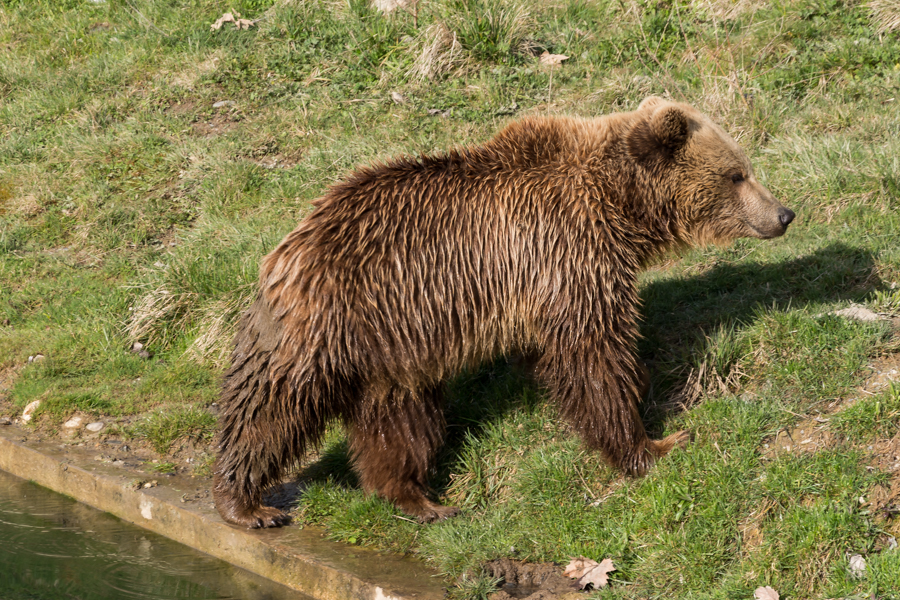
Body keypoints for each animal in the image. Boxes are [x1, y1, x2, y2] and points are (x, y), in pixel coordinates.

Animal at [211, 96, 796, 528]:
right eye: (736, 174)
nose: (785, 213)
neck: (619, 206)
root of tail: (287, 247)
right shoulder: (564, 252)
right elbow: (591, 355)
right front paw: (655, 443)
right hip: (326, 325)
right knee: (269, 407)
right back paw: (245, 503)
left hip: (394, 349)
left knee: (399, 421)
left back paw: (420, 499)